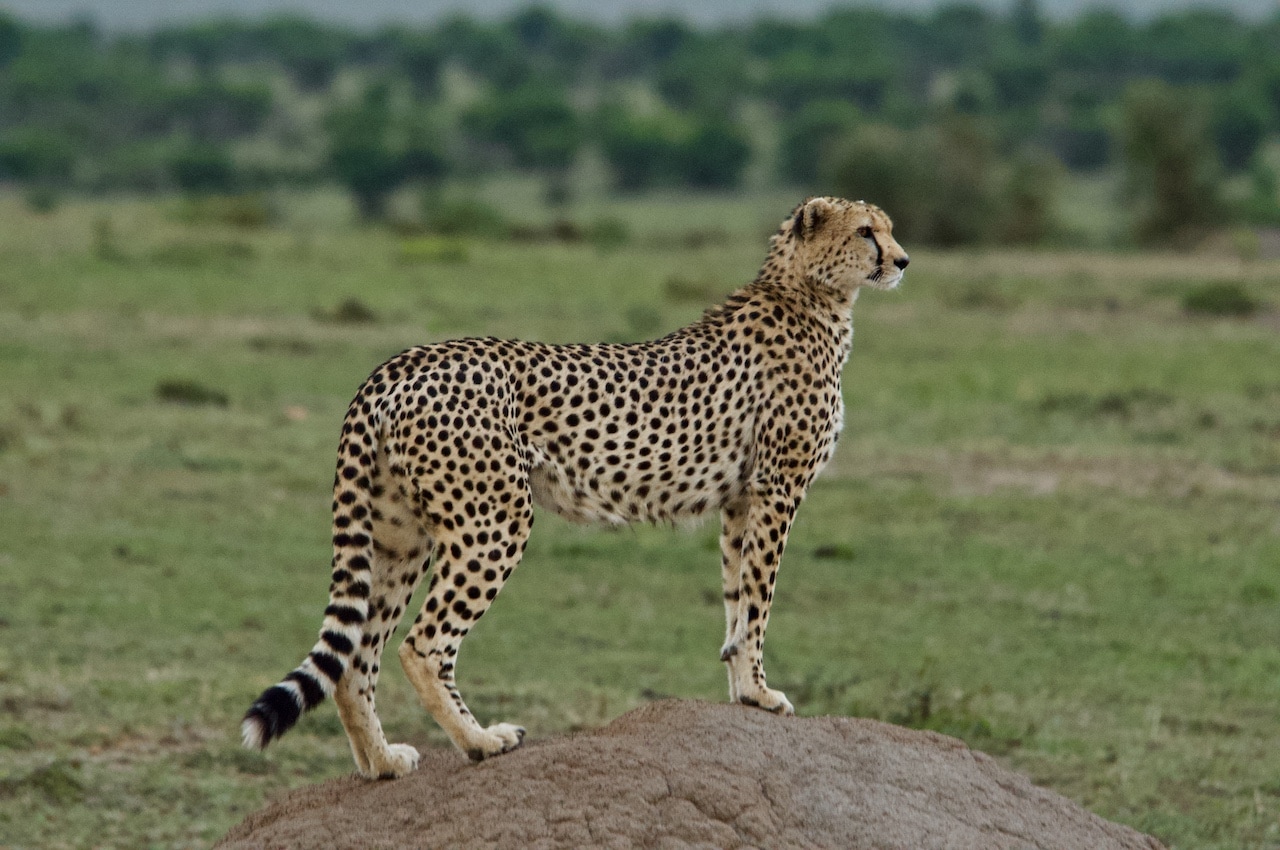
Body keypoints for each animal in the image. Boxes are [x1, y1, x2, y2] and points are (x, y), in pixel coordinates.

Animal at [241, 197, 911, 778]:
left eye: (888, 228)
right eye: (866, 232)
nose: (903, 261)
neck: (811, 294)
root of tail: (402, 362)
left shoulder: (740, 501)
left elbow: (734, 600)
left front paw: (741, 690)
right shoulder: (777, 490)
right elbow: (757, 601)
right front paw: (761, 693)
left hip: (399, 535)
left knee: (357, 654)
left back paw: (382, 763)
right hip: (495, 519)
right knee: (422, 645)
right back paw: (481, 741)